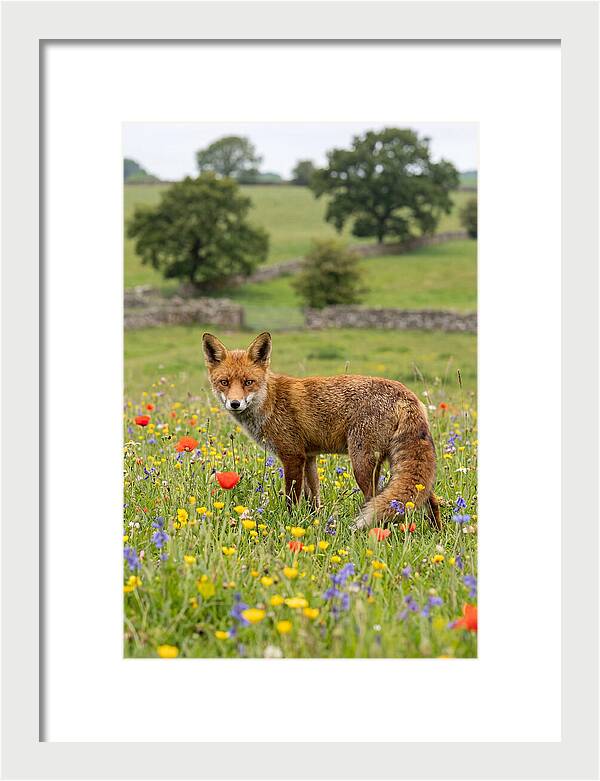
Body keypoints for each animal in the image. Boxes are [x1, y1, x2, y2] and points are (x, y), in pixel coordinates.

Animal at [202, 331, 441, 531]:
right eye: (224, 382)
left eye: (248, 382)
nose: (235, 403)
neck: (270, 401)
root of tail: (406, 393)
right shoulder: (309, 457)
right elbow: (313, 498)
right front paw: (314, 522)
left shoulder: (292, 456)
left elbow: (292, 498)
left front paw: (289, 523)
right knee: (430, 498)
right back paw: (436, 531)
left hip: (362, 463)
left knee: (375, 499)